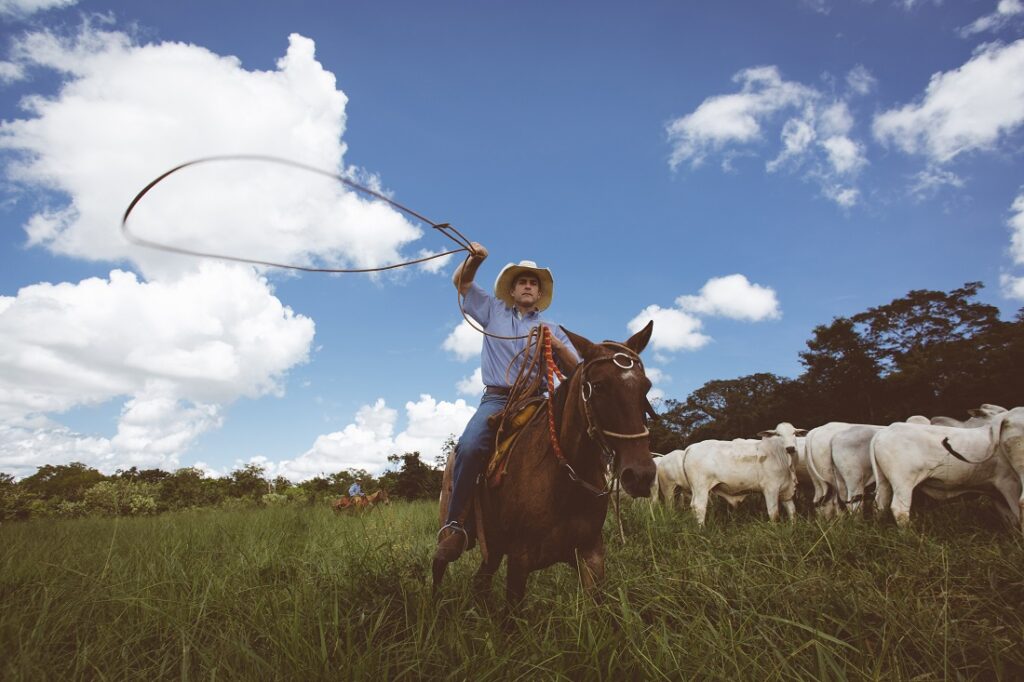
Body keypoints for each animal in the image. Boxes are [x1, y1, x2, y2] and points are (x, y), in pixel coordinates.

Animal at [432, 321, 655, 602]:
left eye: (645, 386)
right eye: (599, 385)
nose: (641, 475)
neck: (566, 482)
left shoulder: (591, 555)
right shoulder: (519, 561)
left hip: (493, 547)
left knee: (481, 580)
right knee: (440, 564)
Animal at [872, 409, 1024, 524]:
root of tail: (884, 431)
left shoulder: (995, 492)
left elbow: (1011, 518)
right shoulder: (1008, 483)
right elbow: (1016, 513)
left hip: (884, 481)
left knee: (881, 505)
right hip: (903, 482)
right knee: (899, 509)